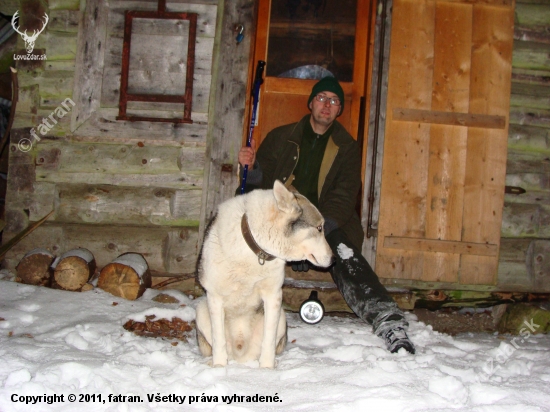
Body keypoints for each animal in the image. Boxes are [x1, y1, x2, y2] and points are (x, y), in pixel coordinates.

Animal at [198, 180, 336, 366]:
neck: (254, 249)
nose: (334, 259)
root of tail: (242, 357)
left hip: (282, 317)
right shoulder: (215, 297)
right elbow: (218, 340)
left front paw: (267, 368)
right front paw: (219, 367)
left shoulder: (273, 296)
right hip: (201, 309)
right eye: (319, 228)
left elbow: (268, 341)